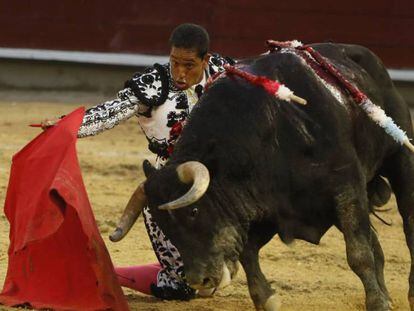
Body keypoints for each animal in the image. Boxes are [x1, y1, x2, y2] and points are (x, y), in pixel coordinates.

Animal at [110, 44, 414, 311]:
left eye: (194, 211)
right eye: (163, 224)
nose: (200, 281)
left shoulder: (346, 187)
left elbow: (359, 254)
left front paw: (378, 304)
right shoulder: (262, 205)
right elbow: (246, 253)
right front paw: (267, 300)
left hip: (401, 160)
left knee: (407, 226)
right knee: (377, 246)